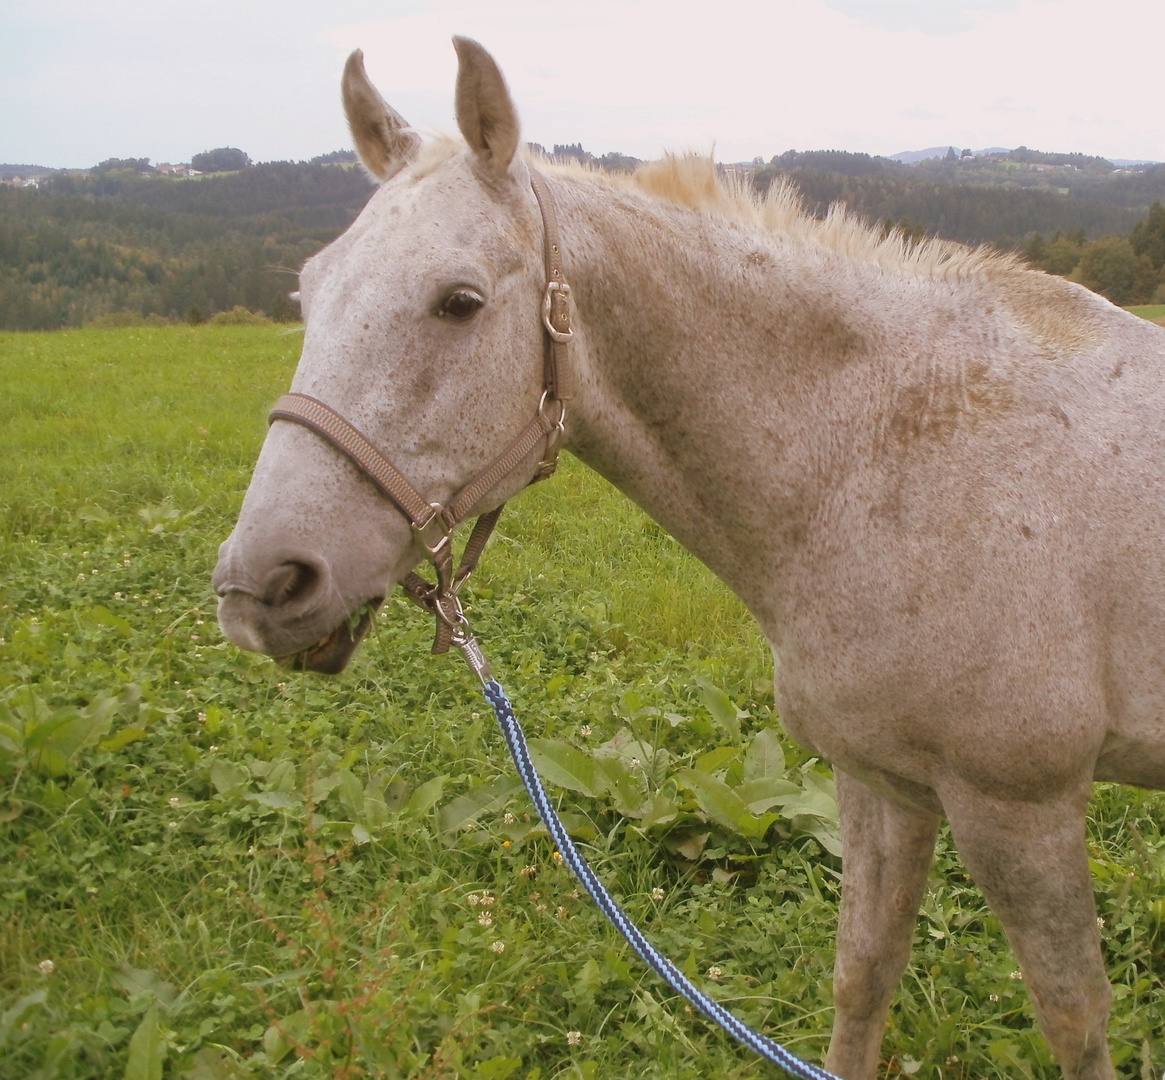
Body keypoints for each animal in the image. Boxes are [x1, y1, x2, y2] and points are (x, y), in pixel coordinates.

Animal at [214, 37, 1165, 1076]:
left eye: (458, 301)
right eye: (308, 291)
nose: (261, 584)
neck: (895, 452)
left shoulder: (1018, 805)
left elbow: (1072, 1015)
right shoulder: (881, 783)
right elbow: (862, 977)